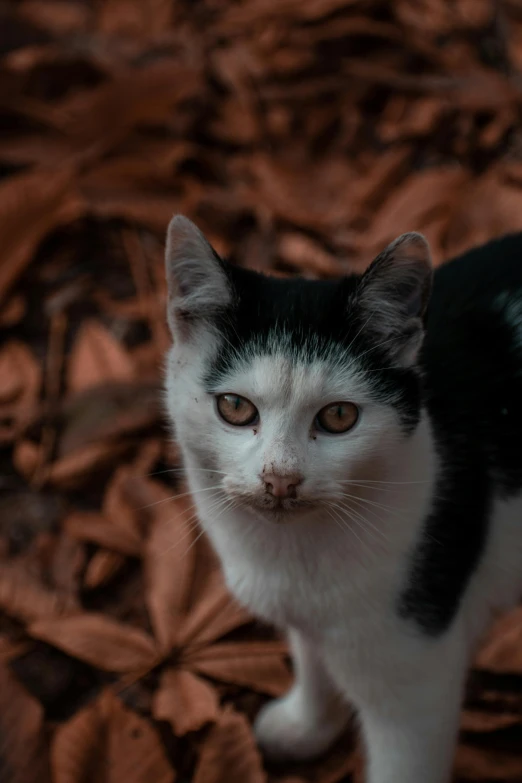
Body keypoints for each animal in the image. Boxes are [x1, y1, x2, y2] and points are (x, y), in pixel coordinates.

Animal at [162, 214, 520, 783]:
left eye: (338, 416)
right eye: (235, 407)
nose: (280, 479)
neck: (292, 556)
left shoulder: (417, 687)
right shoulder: (310, 620)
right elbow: (313, 663)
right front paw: (306, 728)